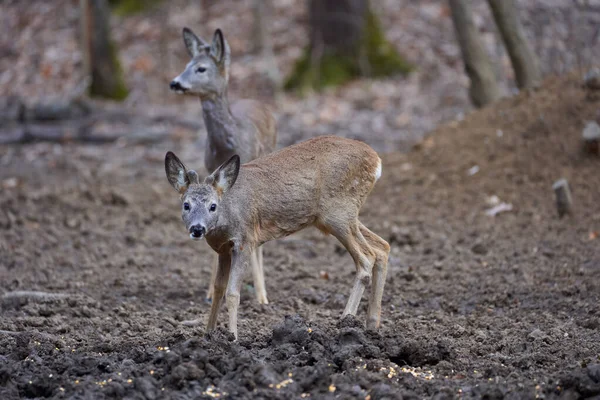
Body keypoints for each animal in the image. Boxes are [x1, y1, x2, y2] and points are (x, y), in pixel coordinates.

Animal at [164, 136, 392, 340]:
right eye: (186, 205)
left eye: (212, 206)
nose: (197, 229)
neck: (227, 214)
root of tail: (377, 161)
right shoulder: (223, 250)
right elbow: (218, 289)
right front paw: (208, 334)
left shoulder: (245, 241)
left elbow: (233, 292)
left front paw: (232, 338)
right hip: (336, 217)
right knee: (383, 246)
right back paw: (372, 324)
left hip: (339, 212)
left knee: (366, 257)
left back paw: (345, 321)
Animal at [168, 27, 276, 304]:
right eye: (186, 65)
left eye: (201, 68)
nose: (175, 83)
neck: (227, 145)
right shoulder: (209, 172)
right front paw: (209, 292)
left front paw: (261, 296)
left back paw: (262, 293)